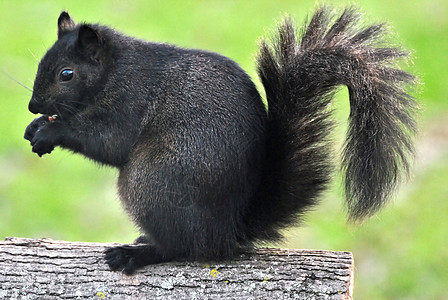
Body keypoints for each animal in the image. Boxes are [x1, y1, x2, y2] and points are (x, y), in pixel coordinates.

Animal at [23, 7, 416, 274]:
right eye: (41, 62)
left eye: (67, 74)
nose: (33, 106)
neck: (112, 72)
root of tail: (229, 230)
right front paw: (35, 127)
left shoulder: (128, 103)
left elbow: (106, 141)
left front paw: (51, 131)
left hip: (150, 182)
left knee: (183, 247)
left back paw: (138, 253)